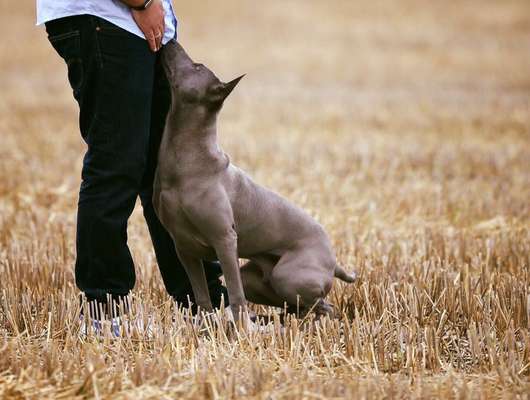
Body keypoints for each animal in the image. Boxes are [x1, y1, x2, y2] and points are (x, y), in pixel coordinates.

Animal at [152, 40, 354, 320]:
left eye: (198, 66)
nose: (169, 40)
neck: (189, 156)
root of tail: (333, 261)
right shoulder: (184, 248)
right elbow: (202, 297)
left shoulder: (224, 240)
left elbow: (235, 296)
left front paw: (239, 327)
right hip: (258, 278)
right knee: (297, 308)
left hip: (288, 276)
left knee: (325, 307)